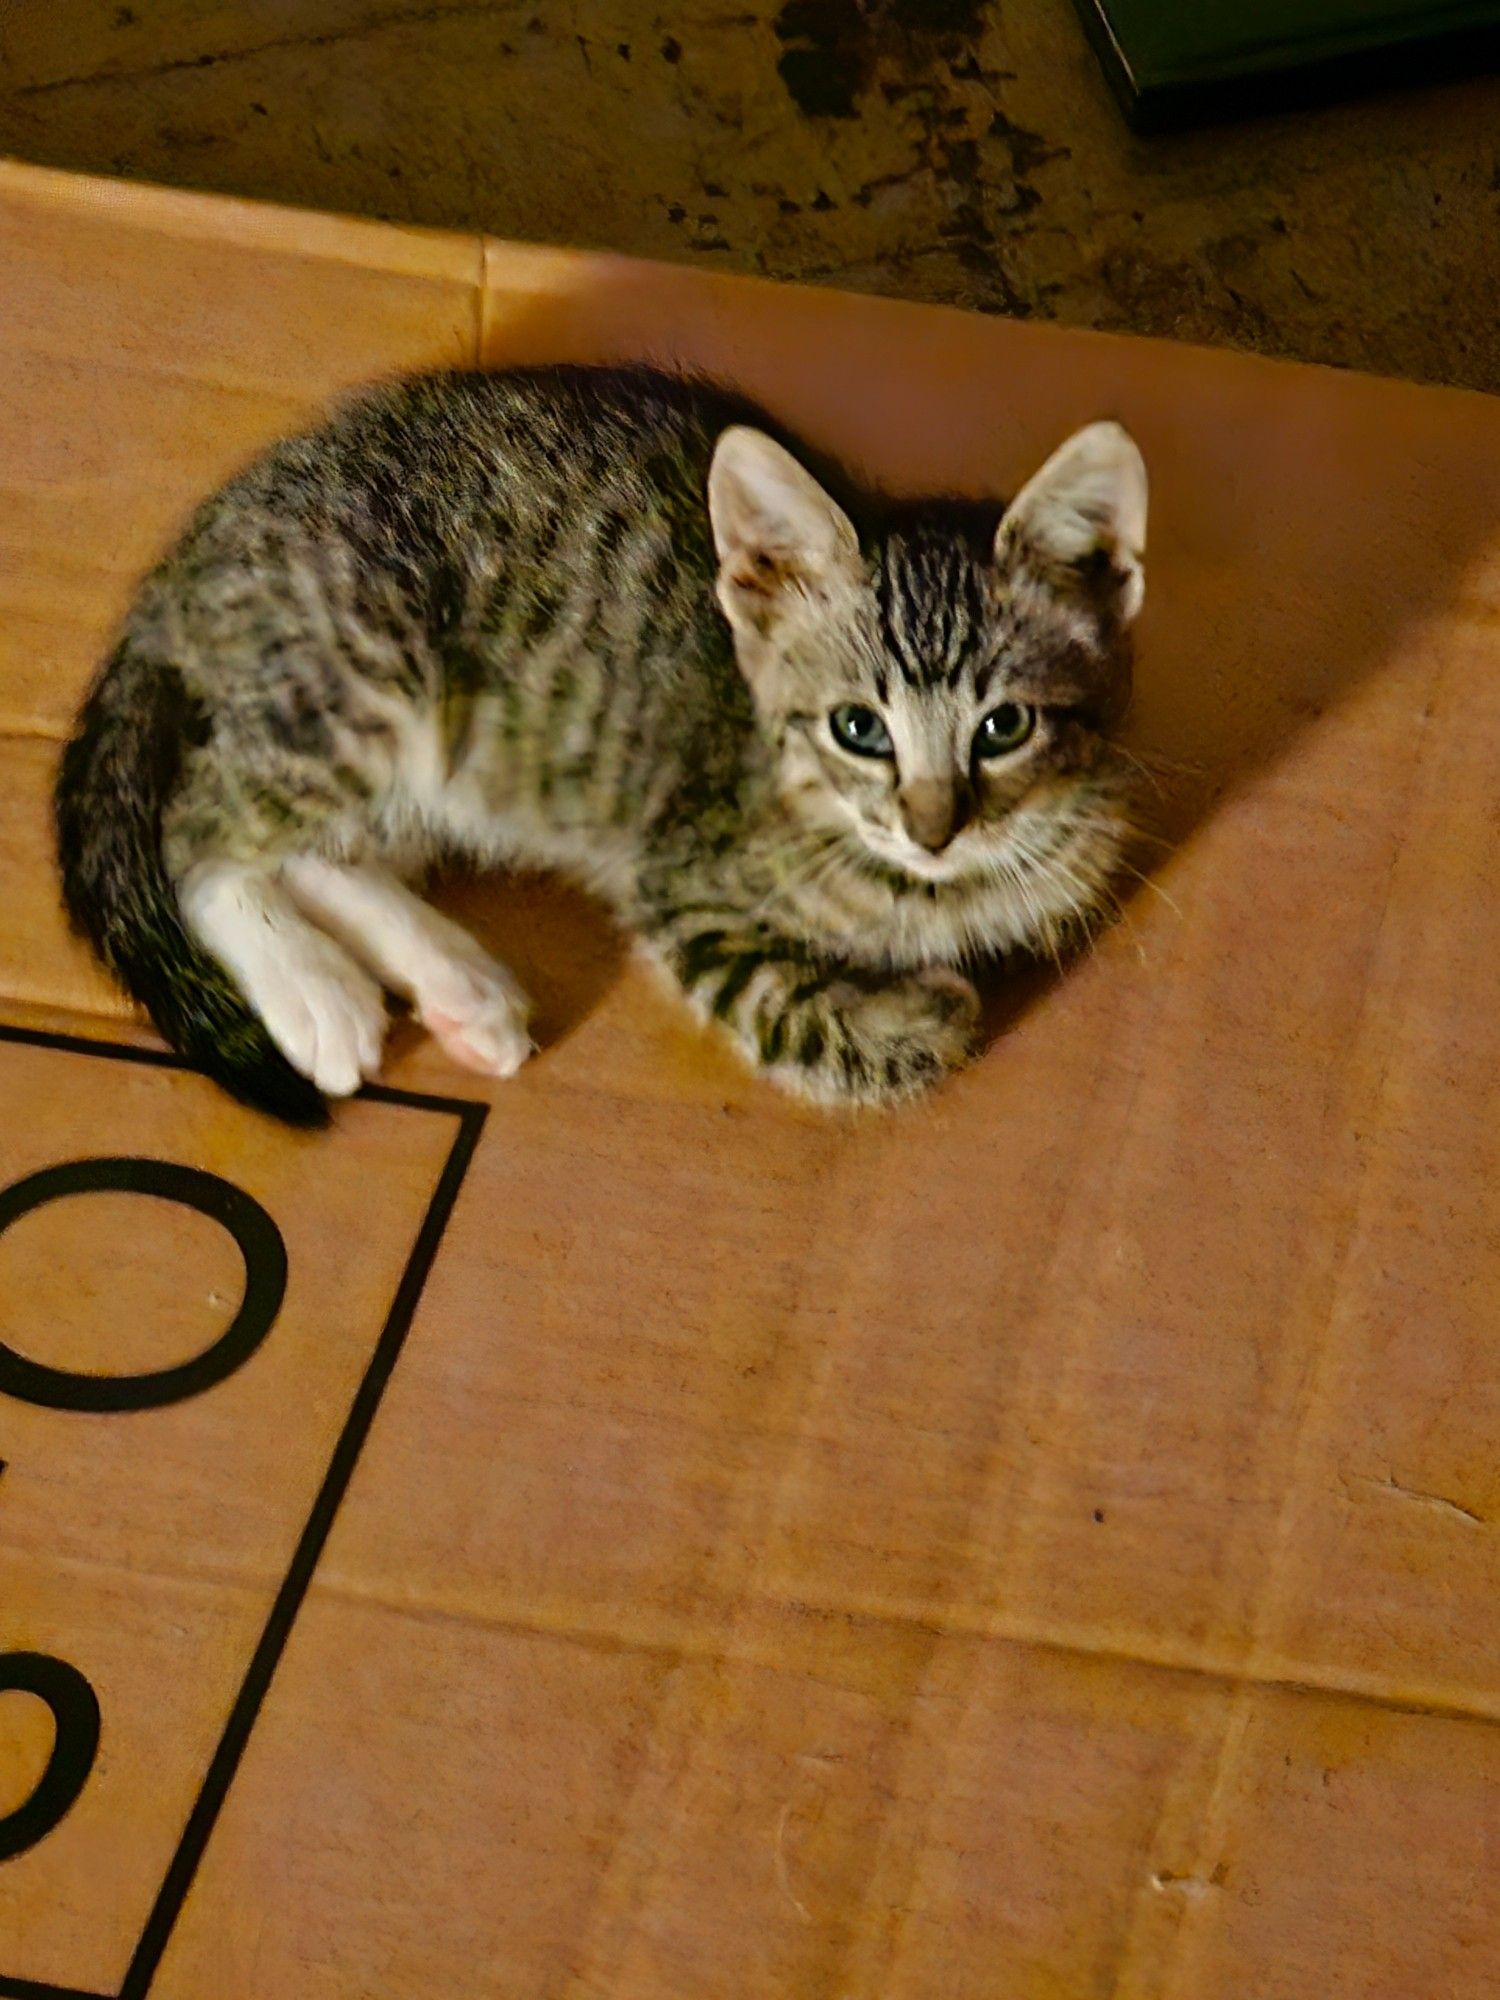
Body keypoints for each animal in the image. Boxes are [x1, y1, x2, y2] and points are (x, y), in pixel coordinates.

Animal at [53, 360, 1144, 1128]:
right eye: (858, 729)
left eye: (1003, 727)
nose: (932, 828)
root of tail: (207, 540)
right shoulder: (684, 883)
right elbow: (800, 1008)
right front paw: (925, 1013)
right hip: (366, 673)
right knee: (198, 826)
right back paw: (315, 991)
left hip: (431, 756)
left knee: (327, 846)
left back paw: (460, 987)